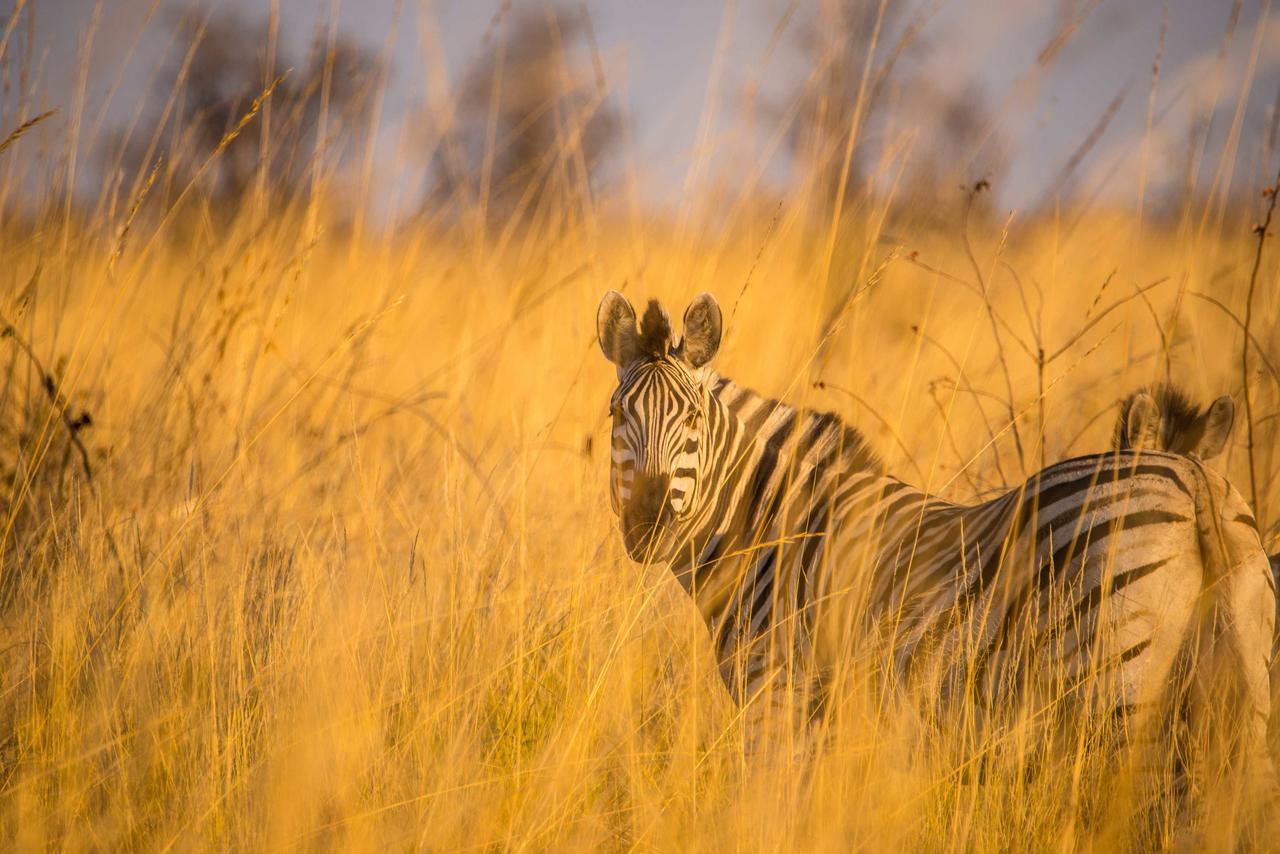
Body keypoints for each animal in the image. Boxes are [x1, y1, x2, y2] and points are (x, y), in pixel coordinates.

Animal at [599, 291, 1280, 793]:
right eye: (615, 415)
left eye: (692, 419)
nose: (650, 525)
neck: (768, 526)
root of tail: (1194, 480)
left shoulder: (776, 697)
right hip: (1240, 689)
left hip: (1117, 692)